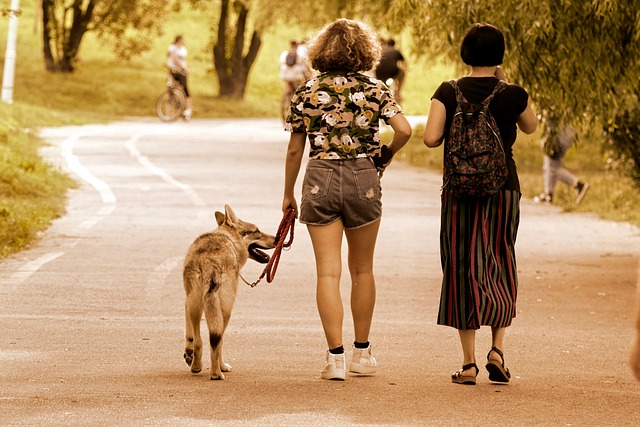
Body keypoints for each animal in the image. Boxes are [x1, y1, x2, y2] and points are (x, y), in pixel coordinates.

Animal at [184, 206, 276, 380]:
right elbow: (218, 342)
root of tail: (209, 261)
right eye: (257, 231)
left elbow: (189, 335)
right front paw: (223, 367)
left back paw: (197, 366)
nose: (277, 238)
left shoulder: (187, 302)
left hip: (196, 304)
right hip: (225, 310)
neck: (229, 239)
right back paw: (217, 372)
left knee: (199, 340)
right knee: (217, 340)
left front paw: (189, 354)